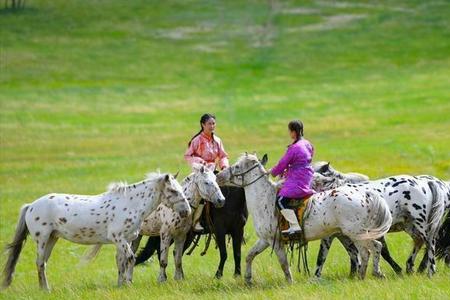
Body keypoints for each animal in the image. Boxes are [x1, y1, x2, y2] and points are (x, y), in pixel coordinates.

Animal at [1, 172, 189, 290]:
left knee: (43, 263)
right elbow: (130, 258)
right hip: (42, 239)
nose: (186, 211)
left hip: (52, 239)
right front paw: (128, 283)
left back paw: (44, 288)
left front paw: (121, 285)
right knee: (40, 263)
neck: (129, 204)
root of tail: (31, 206)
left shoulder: (125, 240)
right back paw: (45, 289)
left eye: (181, 188)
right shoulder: (119, 239)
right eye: (173, 190)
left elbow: (121, 262)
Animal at [216, 154, 392, 282]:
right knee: (369, 250)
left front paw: (289, 282)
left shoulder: (276, 242)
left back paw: (372, 273)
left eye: (237, 166)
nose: (219, 176)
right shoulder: (264, 240)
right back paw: (366, 275)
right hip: (353, 235)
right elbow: (249, 256)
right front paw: (247, 279)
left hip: (356, 234)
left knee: (371, 249)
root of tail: (365, 195)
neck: (264, 200)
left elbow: (284, 264)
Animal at [312, 163, 446, 278]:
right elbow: (332, 257)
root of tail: (426, 183)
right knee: (420, 243)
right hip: (411, 227)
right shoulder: (338, 237)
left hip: (422, 226)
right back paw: (411, 268)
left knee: (430, 244)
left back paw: (430, 272)